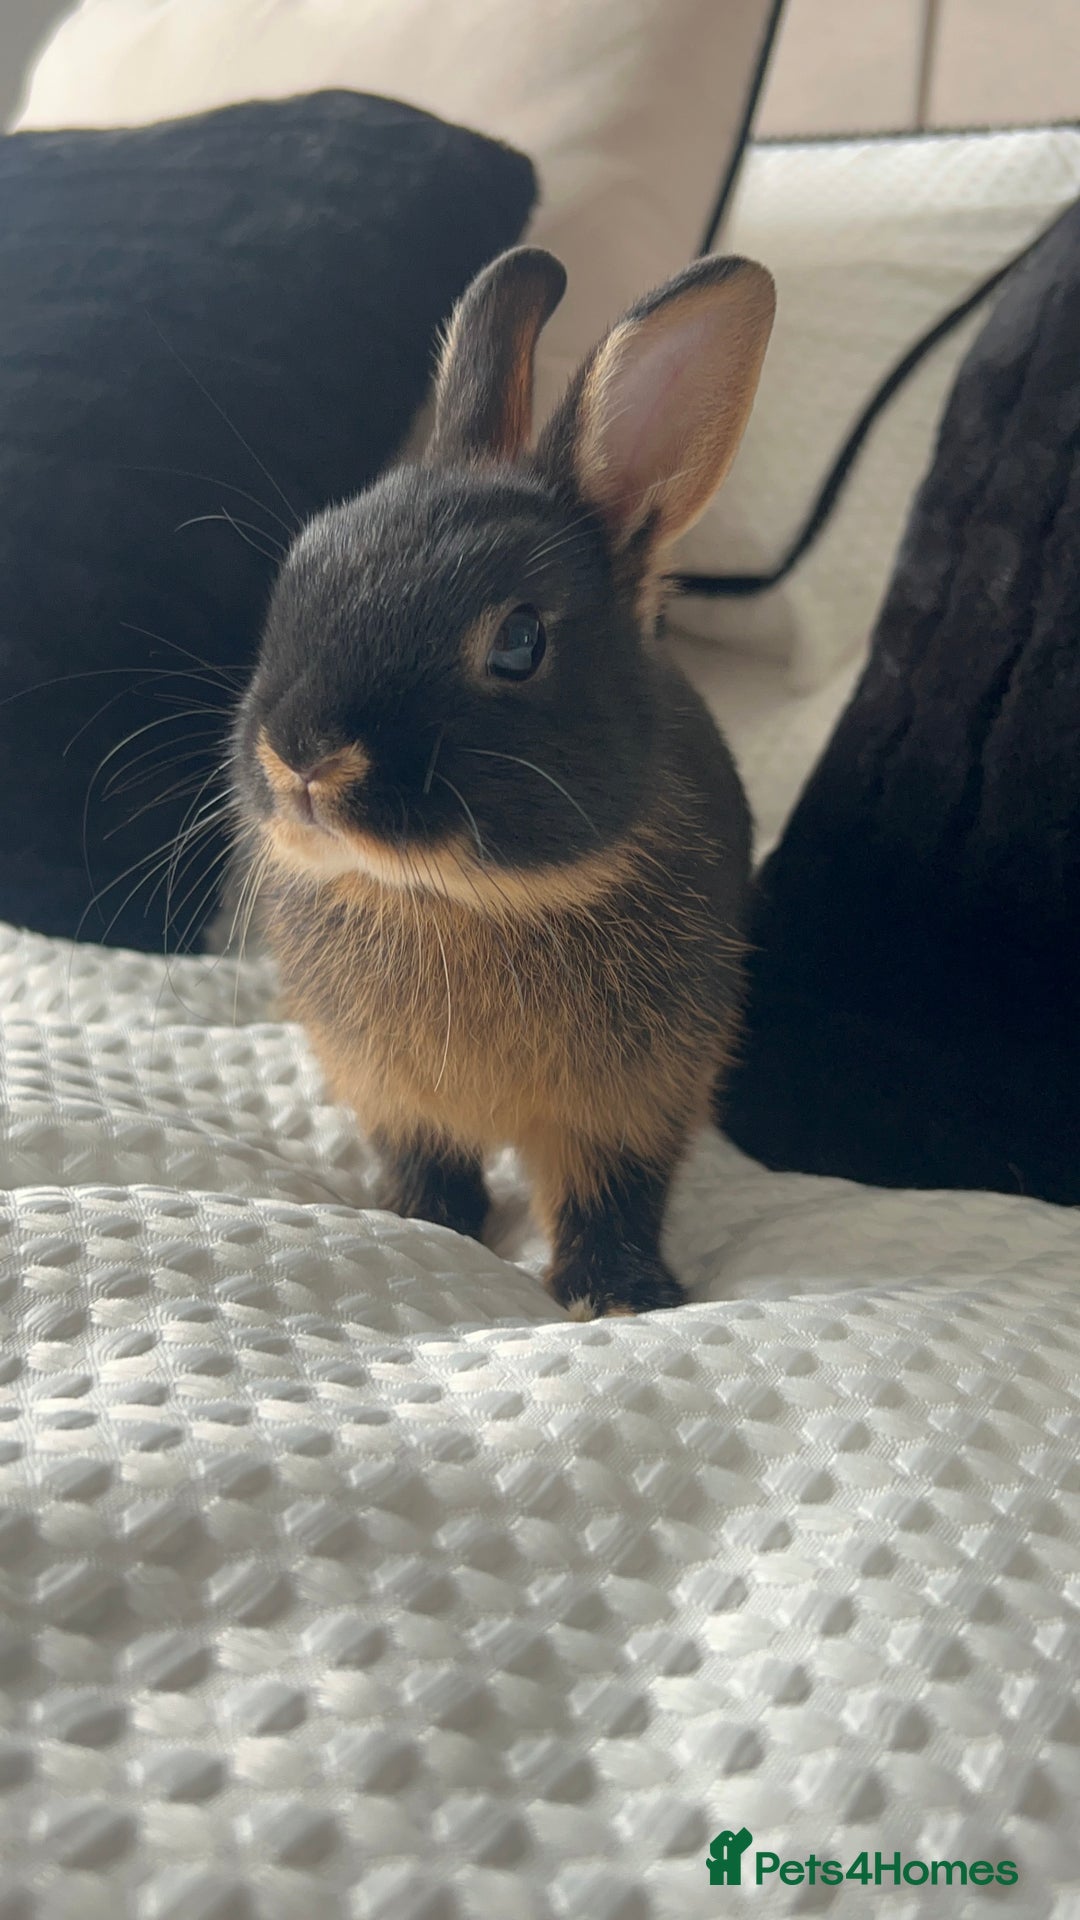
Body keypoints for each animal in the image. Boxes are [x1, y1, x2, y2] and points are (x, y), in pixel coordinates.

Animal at [231, 245, 775, 1317]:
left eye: (519, 643)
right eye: (303, 569)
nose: (302, 757)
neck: (464, 899)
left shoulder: (637, 1099)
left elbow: (615, 1190)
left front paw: (616, 1292)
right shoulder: (391, 1092)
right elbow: (428, 1161)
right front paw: (421, 1221)